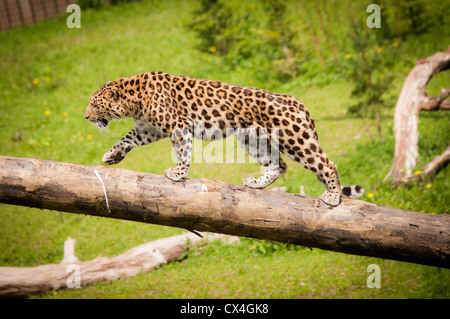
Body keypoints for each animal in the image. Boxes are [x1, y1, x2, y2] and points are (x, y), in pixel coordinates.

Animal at [84, 72, 364, 208]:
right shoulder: (148, 129)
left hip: (294, 138)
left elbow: (183, 151)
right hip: (253, 139)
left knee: (326, 163)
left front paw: (178, 174)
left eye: (94, 104)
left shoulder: (177, 126)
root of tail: (297, 102)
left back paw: (333, 196)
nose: (85, 116)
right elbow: (127, 138)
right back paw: (257, 184)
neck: (134, 100)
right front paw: (112, 155)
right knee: (279, 165)